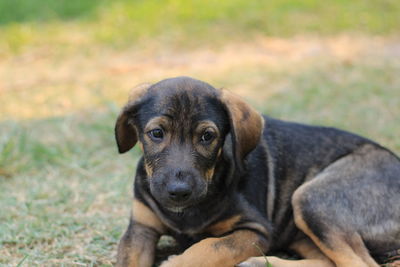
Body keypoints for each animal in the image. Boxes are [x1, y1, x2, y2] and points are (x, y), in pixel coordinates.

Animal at [114, 76, 400, 266]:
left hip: (312, 198)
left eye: (207, 136)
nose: (179, 192)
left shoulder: (255, 230)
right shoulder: (140, 229)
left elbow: (210, 247)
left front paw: (178, 262)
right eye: (156, 133)